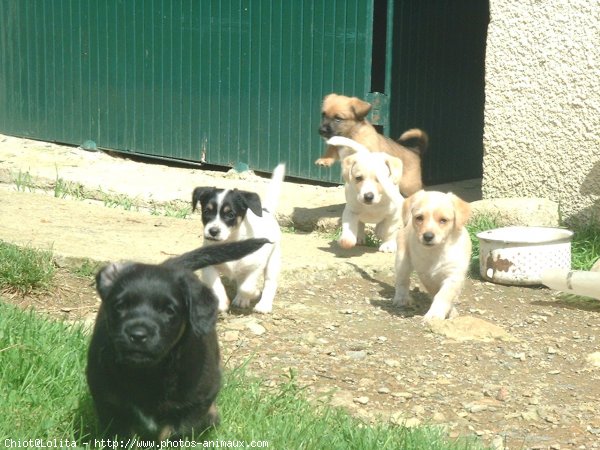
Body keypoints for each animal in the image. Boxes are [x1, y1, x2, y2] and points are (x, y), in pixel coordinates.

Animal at [86, 239, 268, 440]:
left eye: (169, 311)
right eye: (120, 306)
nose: (138, 335)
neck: (148, 372)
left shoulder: (196, 402)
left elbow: (172, 433)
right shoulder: (108, 399)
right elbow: (121, 434)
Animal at [192, 163, 286, 314]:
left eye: (230, 214)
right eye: (206, 212)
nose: (213, 231)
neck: (230, 242)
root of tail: (266, 211)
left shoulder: (255, 266)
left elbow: (247, 287)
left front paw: (252, 294)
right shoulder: (207, 266)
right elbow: (215, 283)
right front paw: (222, 301)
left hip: (273, 261)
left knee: (269, 283)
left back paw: (263, 304)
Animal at [394, 190, 474, 320]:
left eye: (443, 220)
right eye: (419, 218)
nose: (428, 236)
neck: (437, 251)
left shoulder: (454, 275)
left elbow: (444, 295)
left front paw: (436, 313)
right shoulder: (426, 275)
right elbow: (436, 292)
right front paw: (439, 312)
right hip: (402, 260)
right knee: (402, 280)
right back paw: (401, 299)